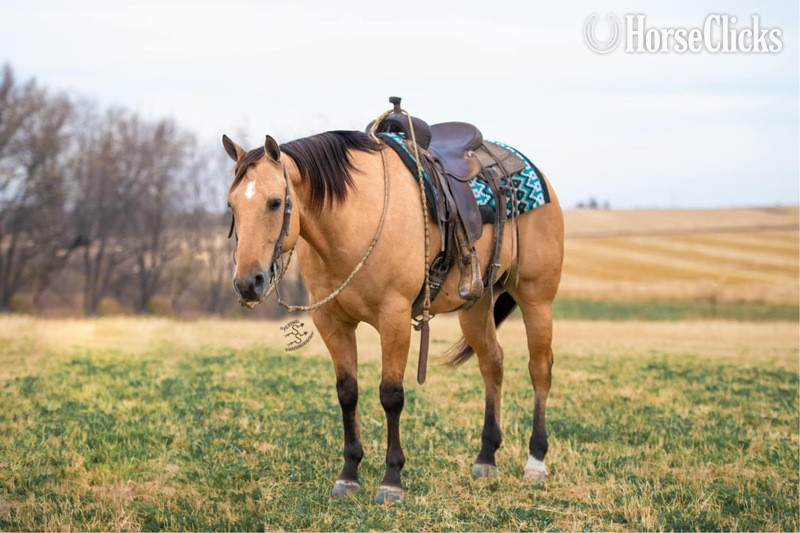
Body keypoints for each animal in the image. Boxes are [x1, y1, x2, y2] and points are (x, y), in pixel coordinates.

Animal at [222, 125, 563, 503]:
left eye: (275, 202)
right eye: (232, 205)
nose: (247, 283)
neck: (352, 218)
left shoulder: (394, 316)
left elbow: (391, 395)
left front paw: (392, 479)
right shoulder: (331, 321)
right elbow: (347, 392)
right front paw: (349, 474)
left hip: (536, 298)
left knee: (539, 369)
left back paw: (536, 461)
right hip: (476, 307)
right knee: (492, 364)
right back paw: (486, 456)